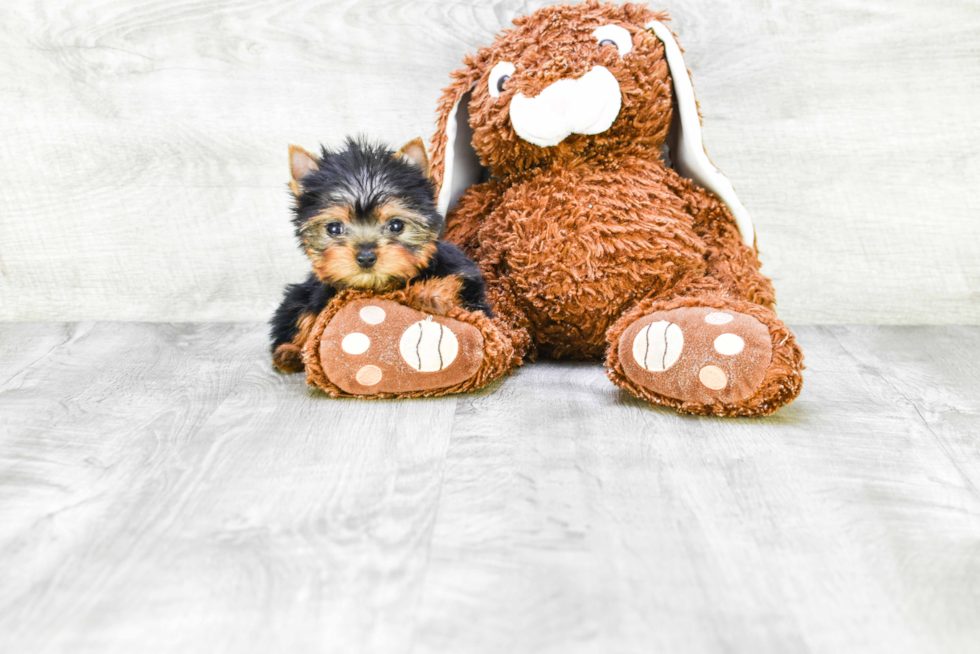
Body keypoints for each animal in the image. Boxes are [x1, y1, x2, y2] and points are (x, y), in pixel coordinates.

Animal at [268, 137, 490, 374]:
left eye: (396, 225)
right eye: (334, 228)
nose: (366, 257)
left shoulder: (460, 267)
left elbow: (458, 278)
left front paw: (429, 294)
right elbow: (312, 317)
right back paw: (289, 353)